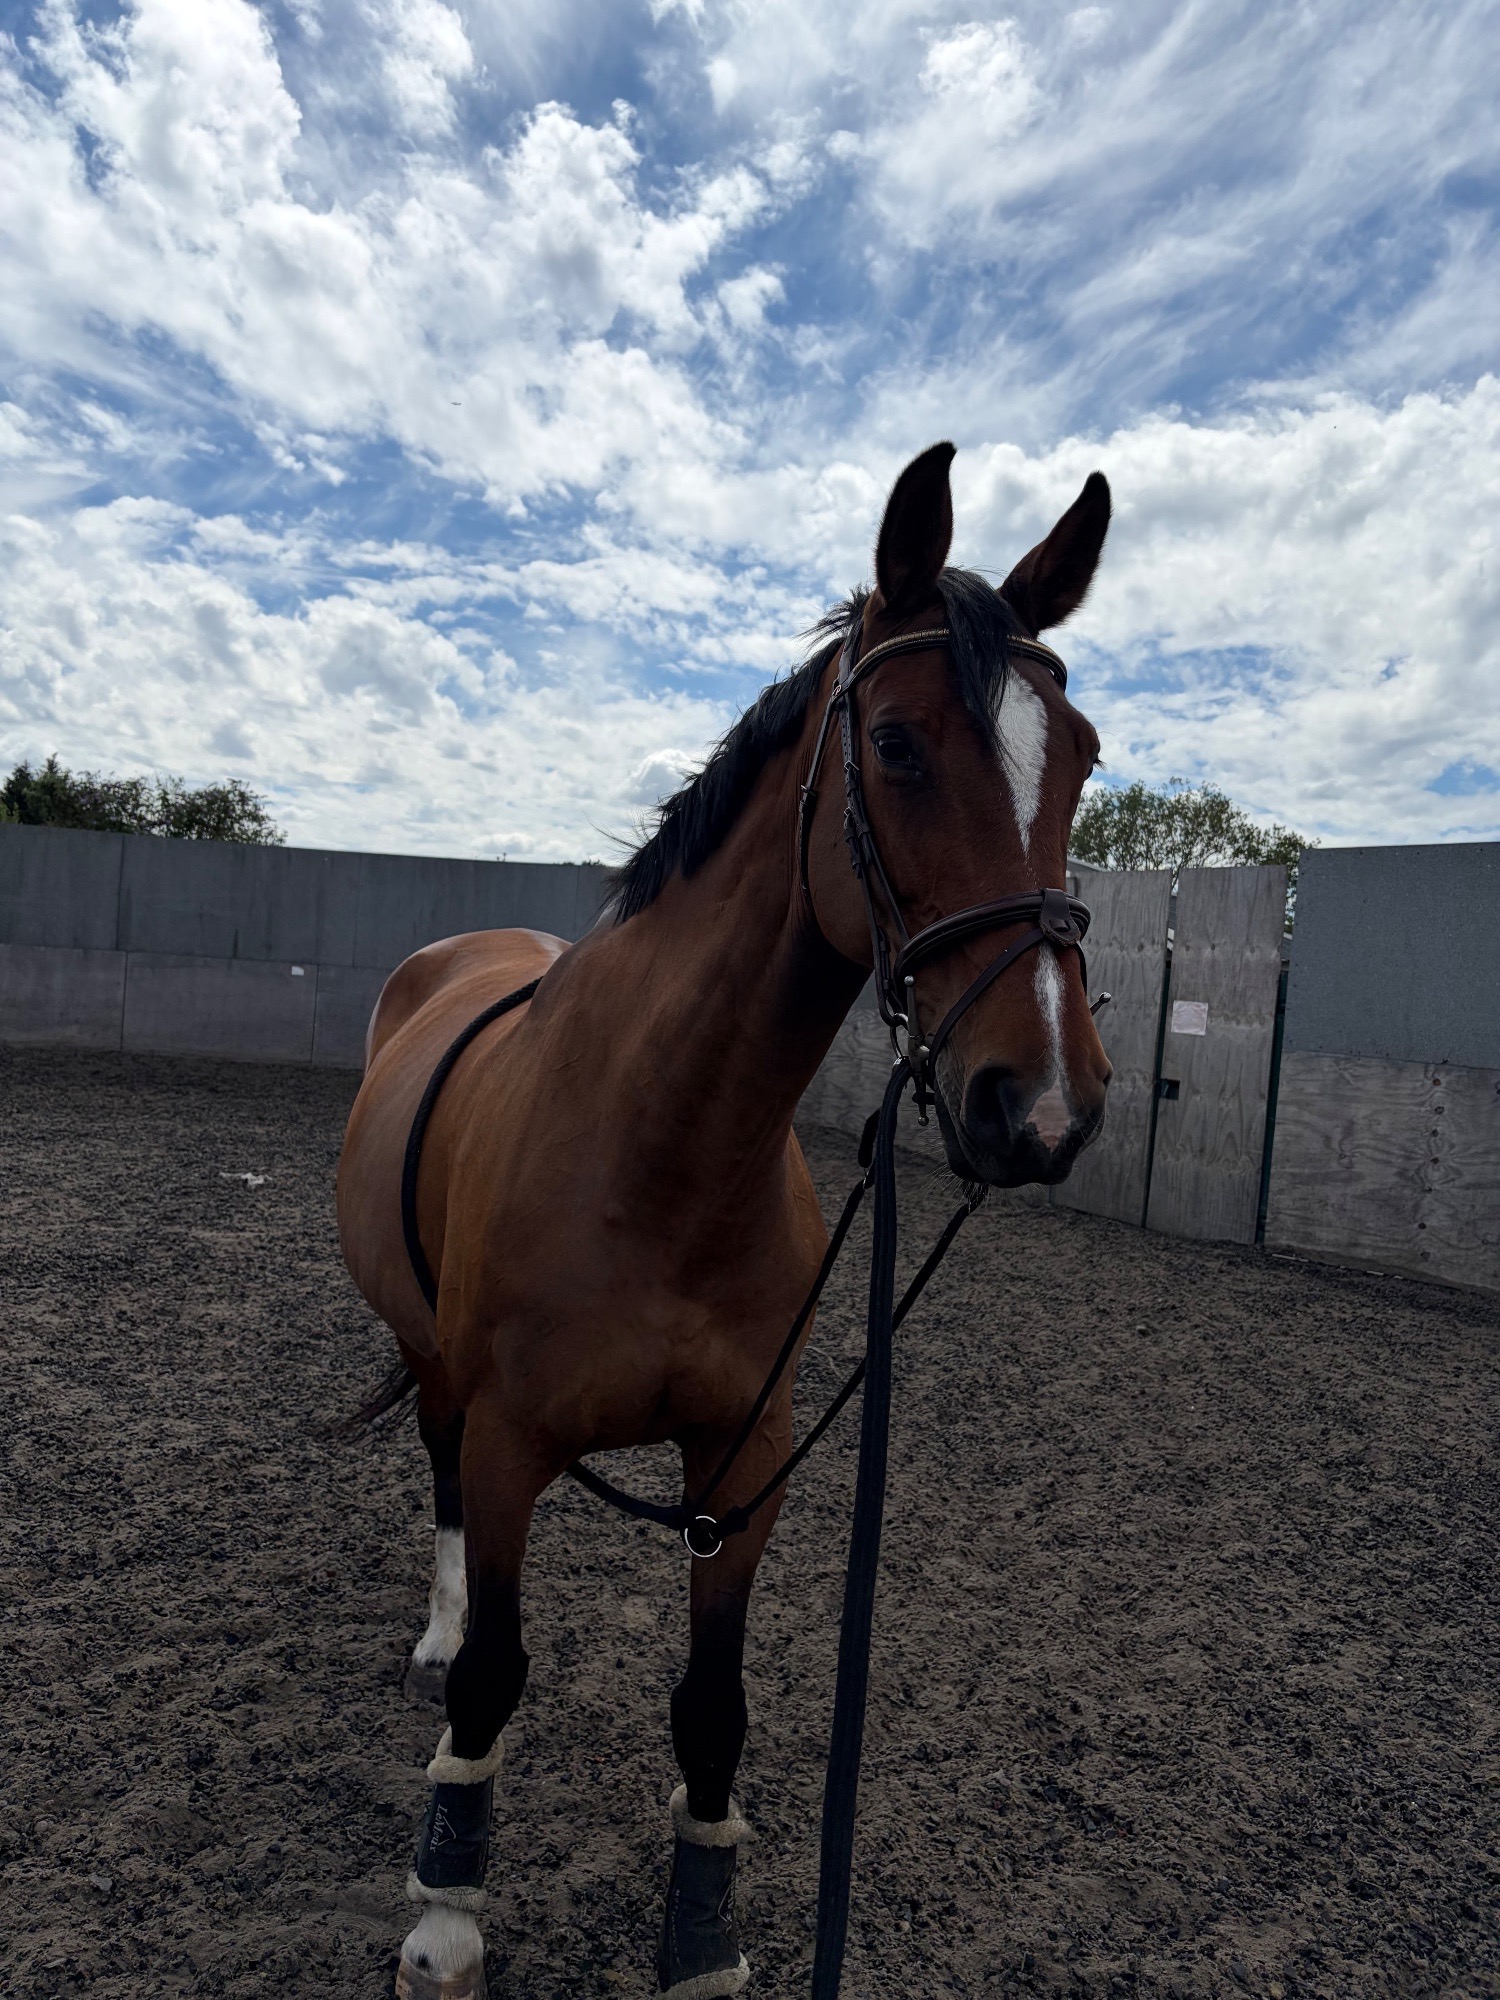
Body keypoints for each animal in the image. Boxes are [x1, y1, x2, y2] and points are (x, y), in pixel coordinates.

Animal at [336, 441, 1113, 2000]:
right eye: (898, 746)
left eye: (1083, 755)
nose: (1045, 1102)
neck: (662, 1153)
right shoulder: (512, 1441)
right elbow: (500, 1668)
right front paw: (446, 1913)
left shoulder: (743, 1462)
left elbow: (714, 1704)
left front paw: (699, 1937)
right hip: (439, 1362)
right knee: (438, 1480)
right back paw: (438, 1639)